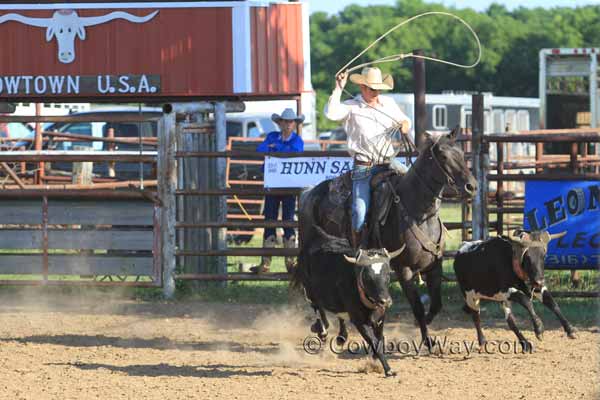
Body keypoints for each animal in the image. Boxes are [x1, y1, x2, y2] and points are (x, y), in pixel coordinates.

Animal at [290, 227, 404, 376]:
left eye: (387, 273)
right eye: (367, 277)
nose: (385, 301)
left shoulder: (380, 318)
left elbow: (380, 339)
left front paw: (373, 361)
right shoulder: (359, 321)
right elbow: (374, 342)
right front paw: (388, 370)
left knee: (337, 314)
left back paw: (341, 337)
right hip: (310, 290)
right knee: (317, 308)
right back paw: (322, 331)